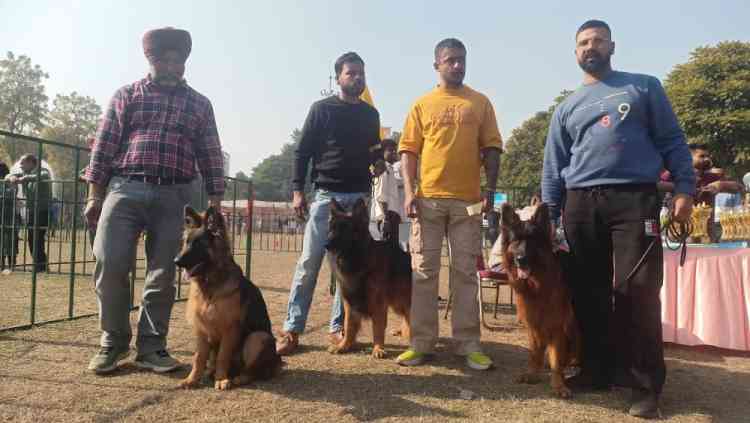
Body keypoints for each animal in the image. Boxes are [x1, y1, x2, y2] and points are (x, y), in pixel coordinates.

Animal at [176, 207, 282, 390]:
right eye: (187, 242)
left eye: (198, 244)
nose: (176, 261)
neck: (211, 284)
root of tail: (276, 362)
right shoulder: (201, 329)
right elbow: (198, 357)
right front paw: (192, 379)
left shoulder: (230, 329)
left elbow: (222, 356)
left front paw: (221, 379)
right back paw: (211, 373)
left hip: (258, 337)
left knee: (252, 371)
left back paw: (237, 377)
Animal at [328, 200, 414, 360]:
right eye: (331, 229)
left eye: (344, 229)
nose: (326, 245)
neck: (358, 258)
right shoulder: (349, 301)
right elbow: (348, 326)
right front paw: (343, 346)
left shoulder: (378, 304)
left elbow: (378, 328)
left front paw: (378, 348)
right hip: (399, 303)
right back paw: (402, 331)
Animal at [506, 204, 580, 400]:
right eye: (516, 240)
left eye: (532, 240)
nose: (521, 259)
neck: (538, 285)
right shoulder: (533, 323)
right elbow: (535, 352)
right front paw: (533, 373)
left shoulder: (557, 327)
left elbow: (556, 361)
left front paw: (558, 385)